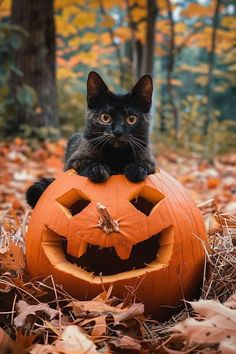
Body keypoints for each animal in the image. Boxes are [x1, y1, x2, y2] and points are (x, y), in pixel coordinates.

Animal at [25, 71, 156, 207]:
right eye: (105, 117)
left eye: (131, 119)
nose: (118, 132)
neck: (115, 155)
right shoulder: (75, 160)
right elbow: (87, 162)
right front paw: (98, 169)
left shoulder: (150, 162)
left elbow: (144, 164)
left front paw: (136, 169)